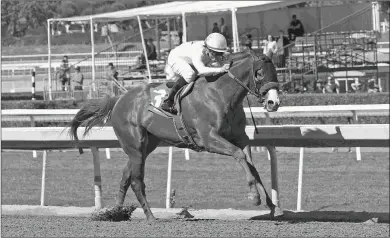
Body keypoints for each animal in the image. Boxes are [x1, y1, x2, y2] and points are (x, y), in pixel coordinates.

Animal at [70, 49, 284, 220]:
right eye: (259, 73)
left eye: (275, 73)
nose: (273, 103)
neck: (220, 94)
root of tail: (120, 98)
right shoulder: (209, 139)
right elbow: (239, 155)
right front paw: (254, 197)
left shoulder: (240, 138)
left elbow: (252, 166)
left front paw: (273, 206)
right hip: (135, 146)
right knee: (137, 181)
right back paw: (150, 216)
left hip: (146, 146)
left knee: (126, 177)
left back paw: (116, 212)